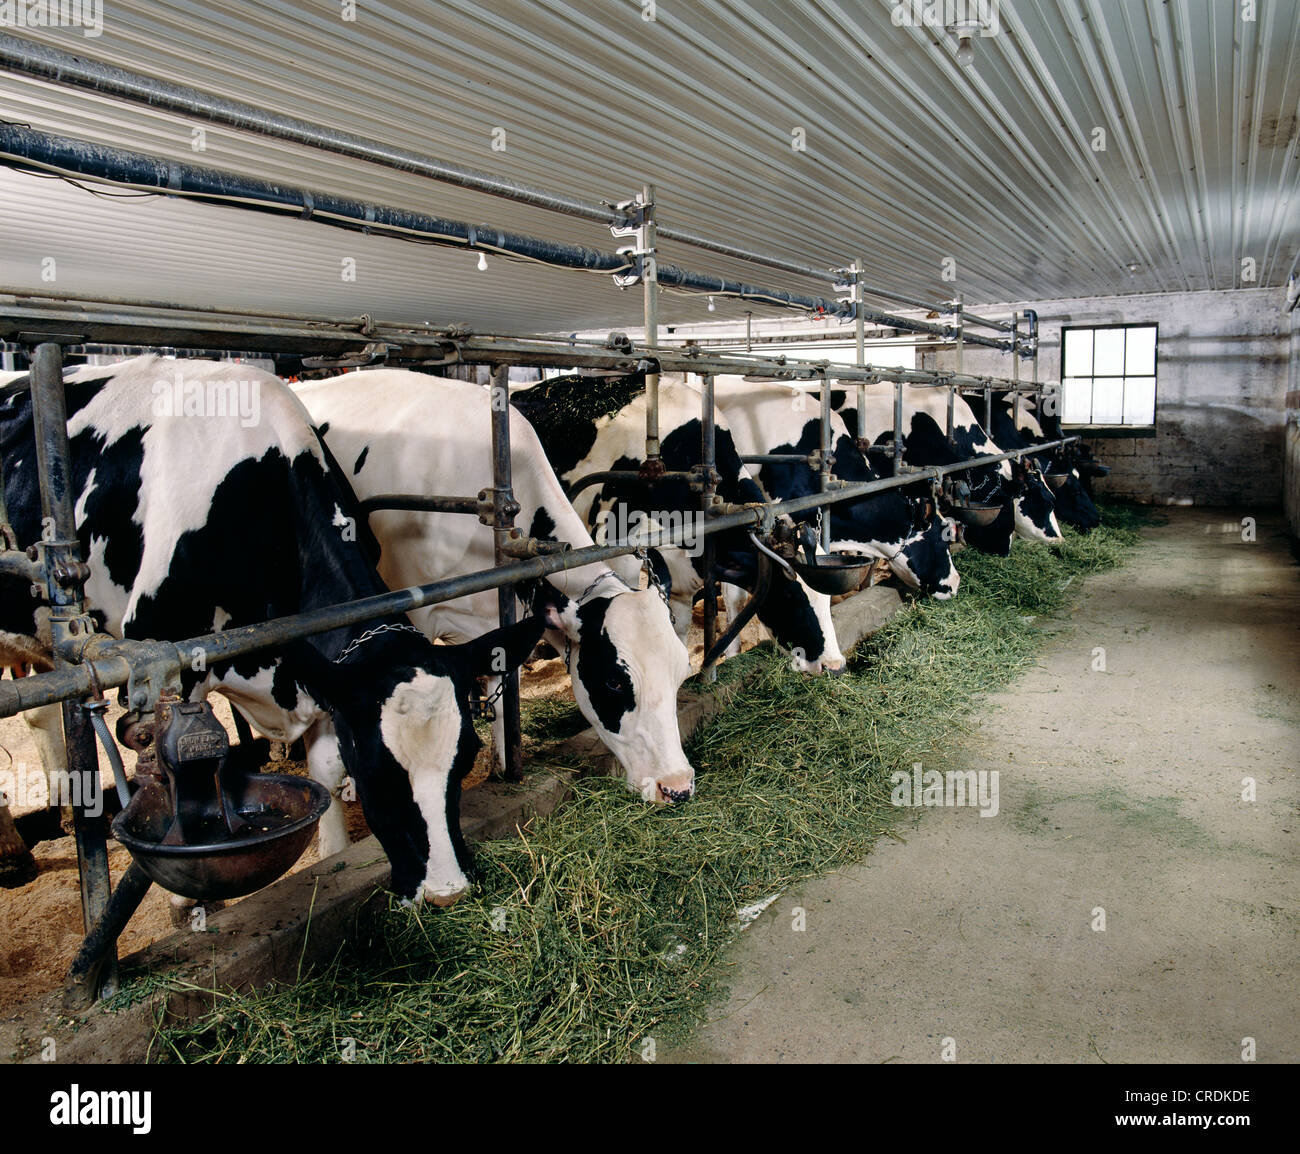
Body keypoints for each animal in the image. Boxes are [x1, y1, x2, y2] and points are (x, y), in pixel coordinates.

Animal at [0, 356, 538, 904]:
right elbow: (172, 782)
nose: (447, 891)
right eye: (377, 770)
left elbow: (325, 771)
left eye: (466, 755)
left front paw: (331, 855)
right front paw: (186, 905)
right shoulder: (166, 665)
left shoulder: (324, 669)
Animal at [293, 369, 696, 800]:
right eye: (615, 681)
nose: (677, 785)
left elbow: (504, 691)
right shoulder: (410, 617)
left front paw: (504, 767)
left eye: (680, 671)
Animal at [512, 369, 847, 675]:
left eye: (827, 598)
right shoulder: (618, 548)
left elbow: (681, 629)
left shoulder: (683, 573)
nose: (835, 665)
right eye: (791, 596)